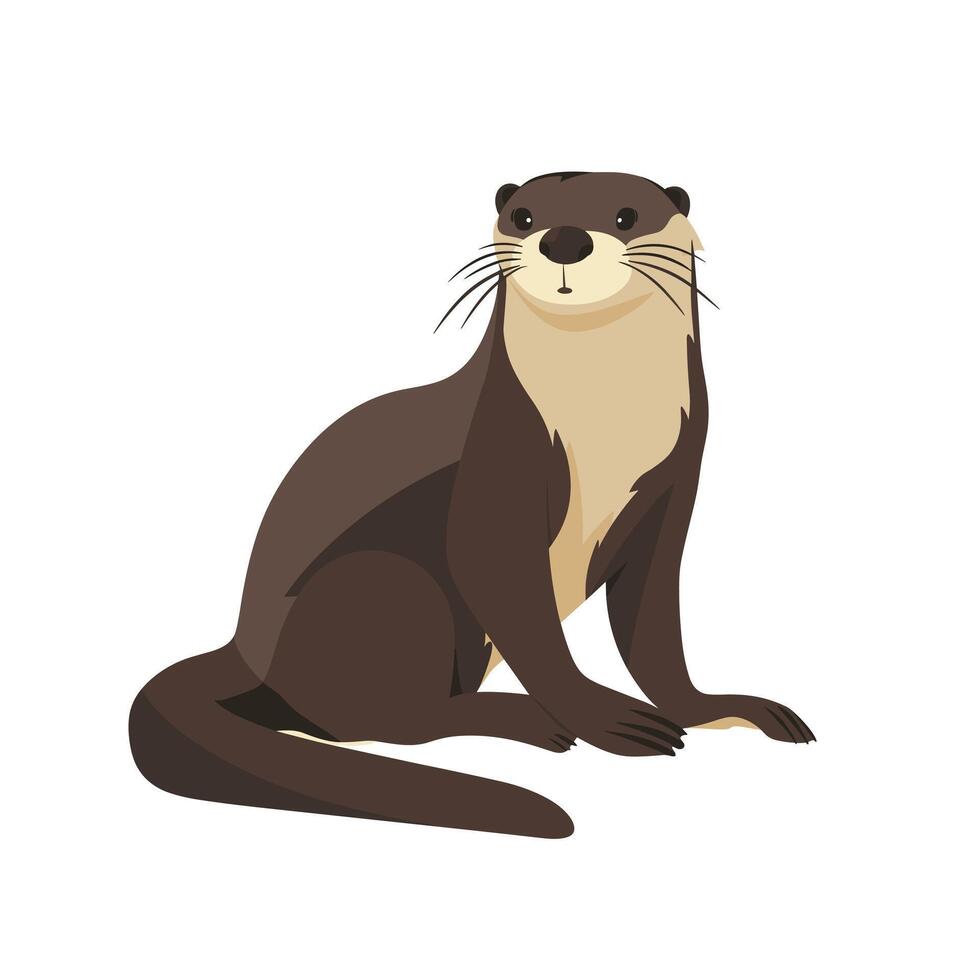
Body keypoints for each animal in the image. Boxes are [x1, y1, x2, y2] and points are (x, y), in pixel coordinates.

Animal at [129, 171, 814, 839]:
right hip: (384, 585)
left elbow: (653, 628)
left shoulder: (674, 487)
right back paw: (524, 720)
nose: (564, 239)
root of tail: (244, 648)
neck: (607, 416)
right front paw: (610, 721)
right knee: (390, 719)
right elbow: (511, 597)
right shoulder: (499, 461)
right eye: (524, 216)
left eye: (626, 215)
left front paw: (721, 711)